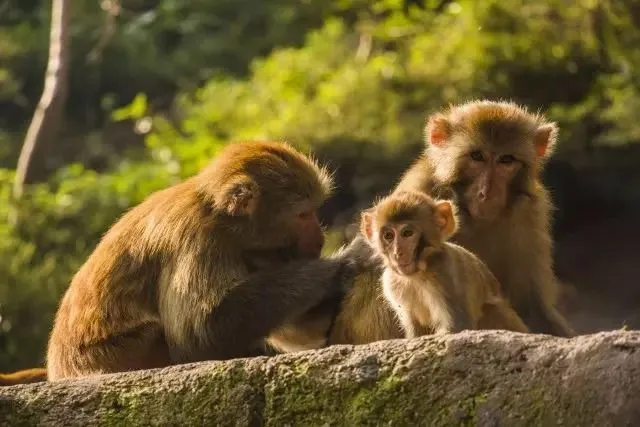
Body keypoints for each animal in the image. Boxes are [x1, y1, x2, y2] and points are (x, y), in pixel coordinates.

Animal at [46, 140, 356, 382]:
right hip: (119, 355)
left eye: (313, 211)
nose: (319, 238)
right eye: (303, 215)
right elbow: (200, 332)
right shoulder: (197, 239)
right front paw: (336, 267)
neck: (222, 218)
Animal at [360, 191, 528, 338]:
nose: (397, 253)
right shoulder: (392, 283)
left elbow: (458, 327)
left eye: (407, 233)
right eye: (388, 235)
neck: (418, 274)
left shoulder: (444, 273)